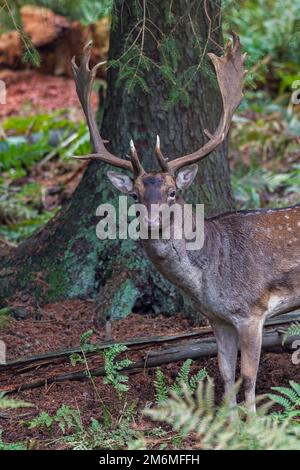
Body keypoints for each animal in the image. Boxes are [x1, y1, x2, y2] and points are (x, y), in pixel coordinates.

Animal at [71, 34, 300, 412]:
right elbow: (225, 371)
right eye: (135, 194)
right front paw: (228, 419)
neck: (208, 282)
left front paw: (252, 420)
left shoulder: (252, 310)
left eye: (173, 191)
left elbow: (249, 375)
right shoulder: (217, 318)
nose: (151, 221)